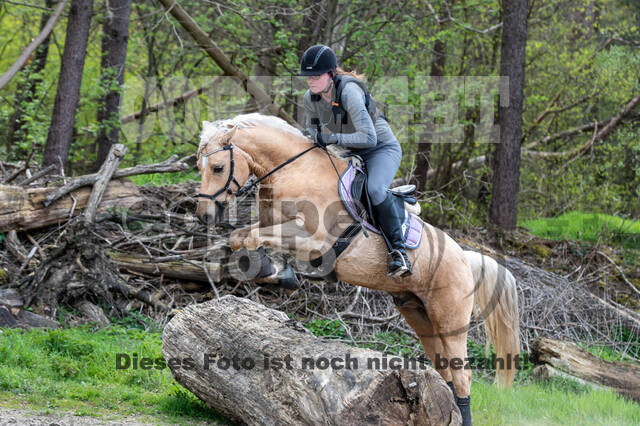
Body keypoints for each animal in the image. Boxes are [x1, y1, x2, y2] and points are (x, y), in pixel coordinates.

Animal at [195, 111, 520, 424]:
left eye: (218, 168)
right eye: (200, 167)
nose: (204, 216)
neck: (295, 171)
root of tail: (464, 256)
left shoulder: (313, 240)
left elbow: (251, 237)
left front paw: (274, 272)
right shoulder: (273, 225)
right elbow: (241, 237)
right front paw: (273, 272)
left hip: (449, 319)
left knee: (462, 375)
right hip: (420, 315)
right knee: (446, 371)